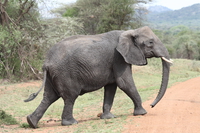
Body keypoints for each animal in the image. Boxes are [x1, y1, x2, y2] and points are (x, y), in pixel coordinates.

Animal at [24, 25, 172, 128]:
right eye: (150, 42)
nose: (152, 105)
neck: (129, 32)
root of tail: (46, 62)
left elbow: (111, 87)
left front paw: (108, 117)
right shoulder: (118, 58)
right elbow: (124, 83)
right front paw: (142, 113)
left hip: (53, 75)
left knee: (49, 97)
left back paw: (31, 122)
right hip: (65, 73)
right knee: (70, 96)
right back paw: (71, 123)